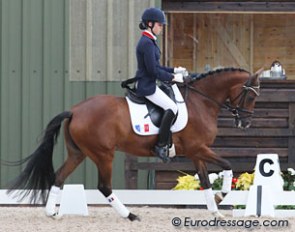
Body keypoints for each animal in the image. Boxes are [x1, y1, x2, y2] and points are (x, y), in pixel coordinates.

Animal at [6, 67, 262, 221]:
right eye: (250, 96)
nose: (246, 123)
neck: (201, 102)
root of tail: (75, 111)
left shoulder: (197, 153)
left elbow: (206, 181)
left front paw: (216, 210)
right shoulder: (198, 148)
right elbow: (227, 165)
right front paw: (221, 198)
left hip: (78, 153)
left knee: (59, 176)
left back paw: (52, 213)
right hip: (103, 154)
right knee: (104, 186)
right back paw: (130, 215)